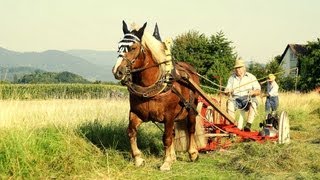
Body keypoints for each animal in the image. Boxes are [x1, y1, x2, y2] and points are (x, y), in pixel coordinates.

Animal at [112, 20, 201, 170]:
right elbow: (131, 132)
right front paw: (138, 158)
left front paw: (166, 162)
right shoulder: (136, 112)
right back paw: (173, 156)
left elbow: (167, 138)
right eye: (119, 46)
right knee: (173, 132)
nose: (117, 71)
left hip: (191, 109)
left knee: (191, 128)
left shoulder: (169, 115)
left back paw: (193, 153)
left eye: (133, 48)